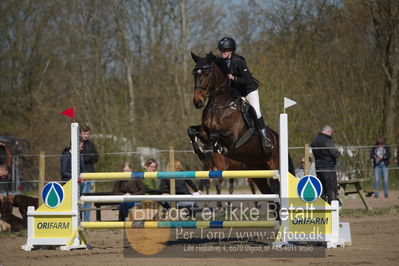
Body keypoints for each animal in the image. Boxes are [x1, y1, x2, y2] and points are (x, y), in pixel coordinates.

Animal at [188, 52, 294, 194]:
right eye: (194, 73)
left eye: (206, 73)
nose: (197, 101)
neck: (218, 105)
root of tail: (278, 138)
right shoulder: (204, 131)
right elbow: (191, 130)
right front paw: (200, 153)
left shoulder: (233, 137)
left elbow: (214, 135)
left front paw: (218, 147)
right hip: (257, 171)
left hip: (275, 168)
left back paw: (267, 143)